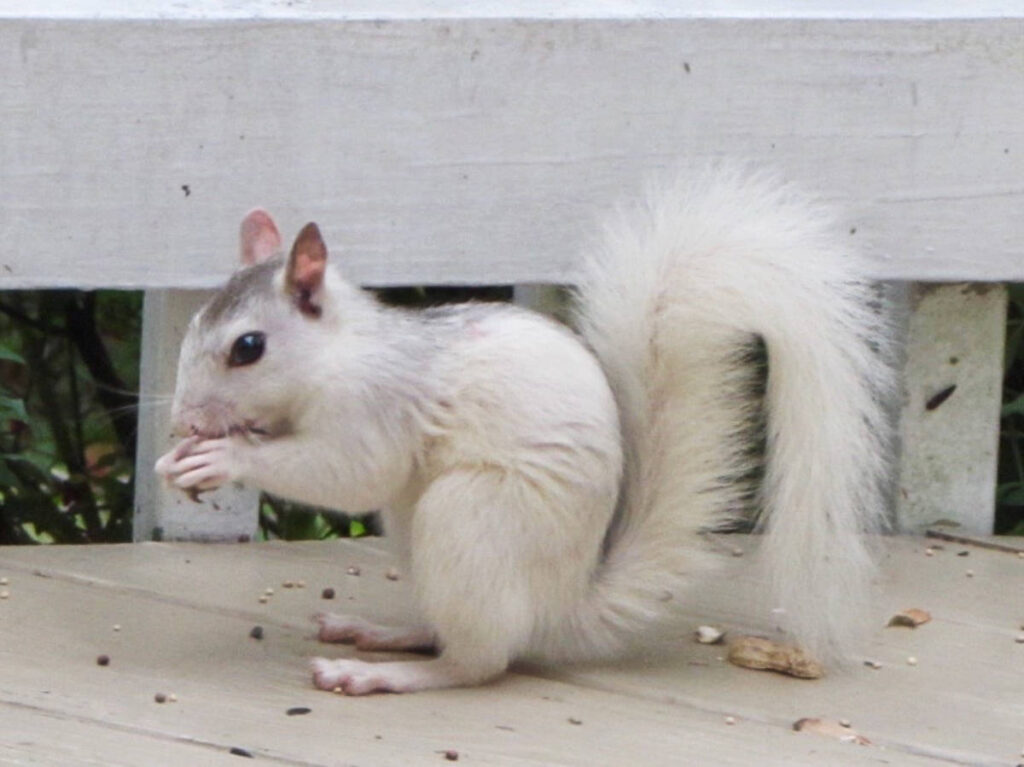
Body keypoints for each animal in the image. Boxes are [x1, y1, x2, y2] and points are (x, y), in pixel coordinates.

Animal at [155, 167, 895, 695]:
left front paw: (222, 457)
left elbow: (350, 474)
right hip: (419, 532)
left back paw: (385, 672)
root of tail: (561, 608)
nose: (183, 419)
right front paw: (182, 457)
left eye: (248, 347)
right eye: (192, 329)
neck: (337, 355)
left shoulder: (377, 409)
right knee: (453, 631)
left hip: (468, 517)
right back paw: (383, 632)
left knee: (479, 662)